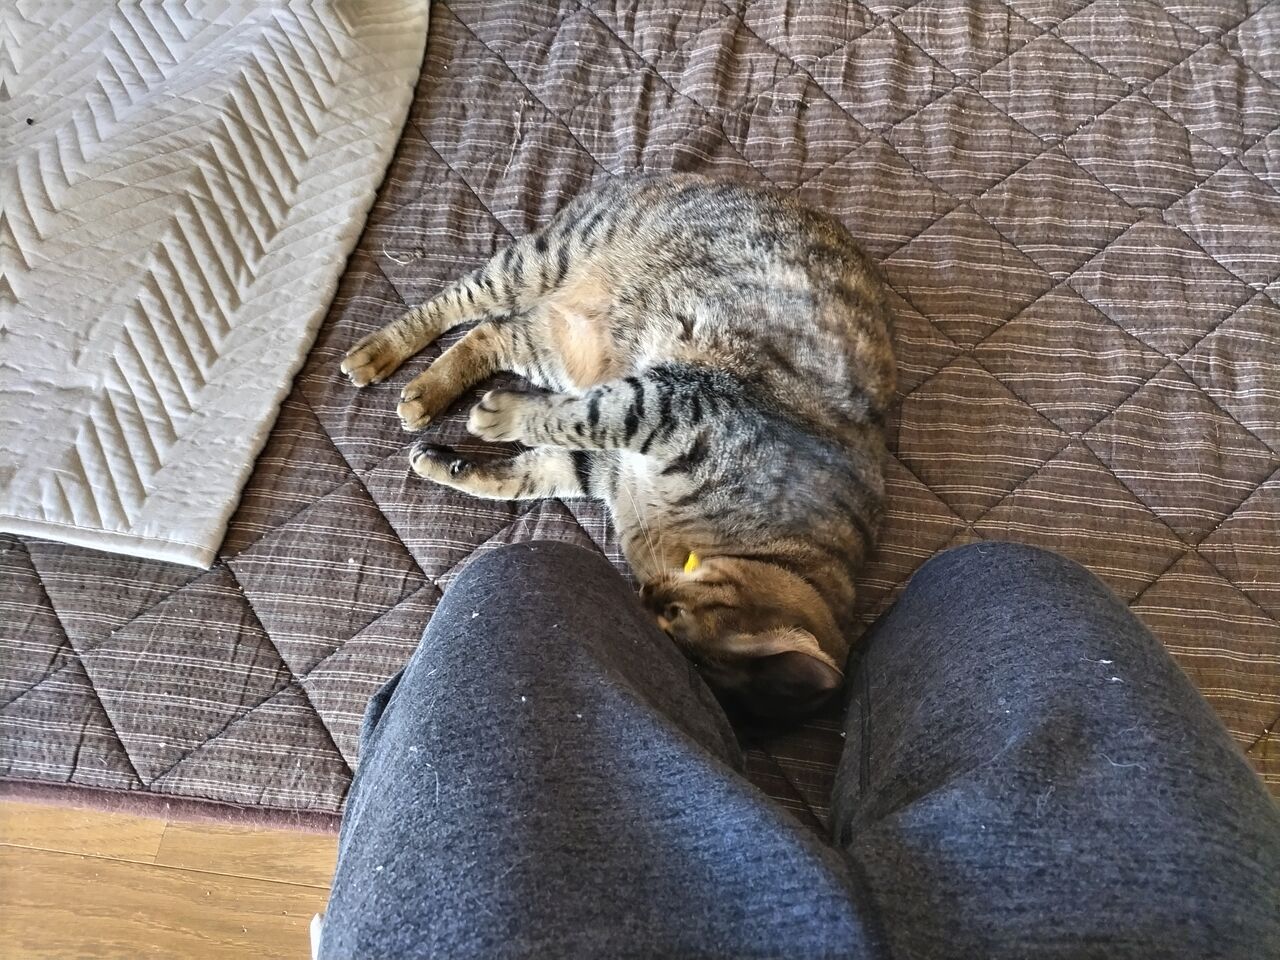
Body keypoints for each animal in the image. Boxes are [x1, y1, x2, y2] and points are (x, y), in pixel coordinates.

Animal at [341, 174, 896, 718]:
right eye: (670, 615)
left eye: (667, 634)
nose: (640, 594)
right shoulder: (681, 405)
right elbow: (591, 414)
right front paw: (507, 416)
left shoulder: (610, 464)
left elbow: (531, 466)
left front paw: (451, 462)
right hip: (541, 263)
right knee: (457, 302)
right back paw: (379, 356)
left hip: (558, 344)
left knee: (494, 333)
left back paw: (428, 389)